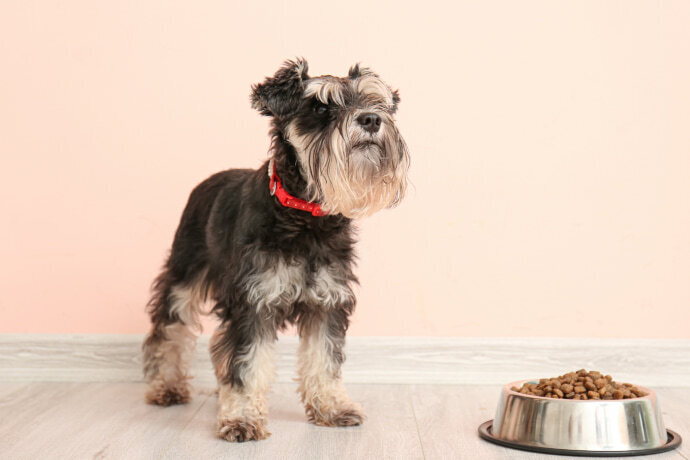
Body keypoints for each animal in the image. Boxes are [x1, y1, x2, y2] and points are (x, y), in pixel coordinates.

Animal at [142, 58, 406, 442]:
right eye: (320, 107)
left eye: (376, 101)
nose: (371, 119)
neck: (304, 216)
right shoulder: (253, 302)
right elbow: (246, 363)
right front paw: (241, 418)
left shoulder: (327, 303)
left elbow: (324, 360)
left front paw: (333, 407)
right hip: (183, 278)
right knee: (168, 331)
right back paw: (166, 386)